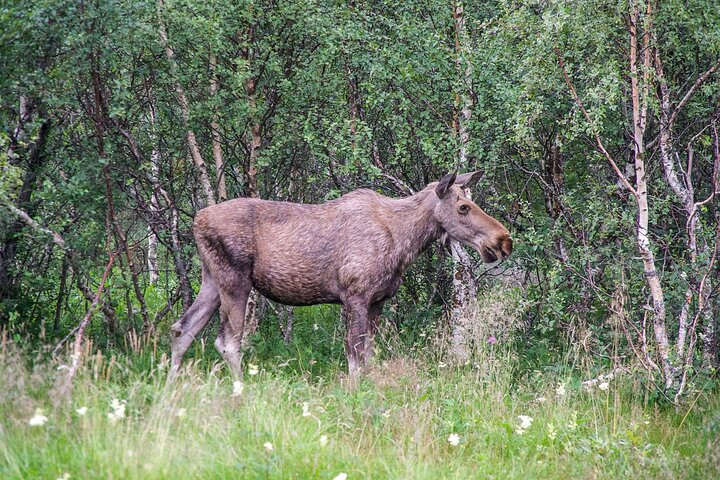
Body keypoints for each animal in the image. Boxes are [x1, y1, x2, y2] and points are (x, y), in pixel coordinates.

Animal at [169, 171, 512, 380]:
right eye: (463, 207)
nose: (504, 240)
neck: (405, 242)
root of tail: (197, 220)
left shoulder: (377, 301)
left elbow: (368, 356)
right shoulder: (355, 294)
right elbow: (355, 357)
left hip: (212, 279)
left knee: (182, 329)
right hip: (235, 280)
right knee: (226, 341)